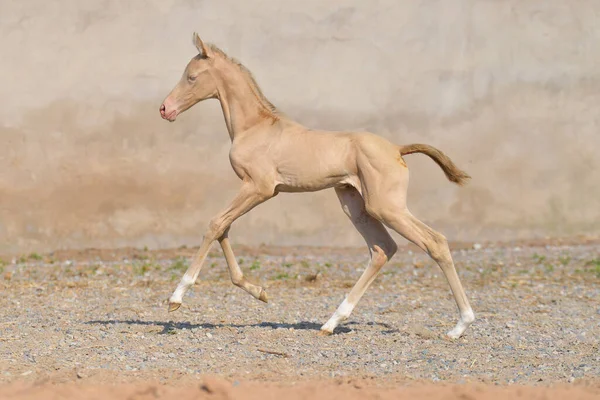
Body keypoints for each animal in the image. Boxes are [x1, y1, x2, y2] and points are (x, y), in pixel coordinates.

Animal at [158, 32, 474, 338]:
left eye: (191, 77)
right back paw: (332, 322)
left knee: (435, 242)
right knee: (382, 248)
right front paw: (259, 292)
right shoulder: (251, 190)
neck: (255, 127)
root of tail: (397, 149)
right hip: (355, 205)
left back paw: (460, 326)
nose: (164, 109)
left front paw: (176, 297)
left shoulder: (259, 188)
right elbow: (223, 227)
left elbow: (215, 224)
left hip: (386, 207)